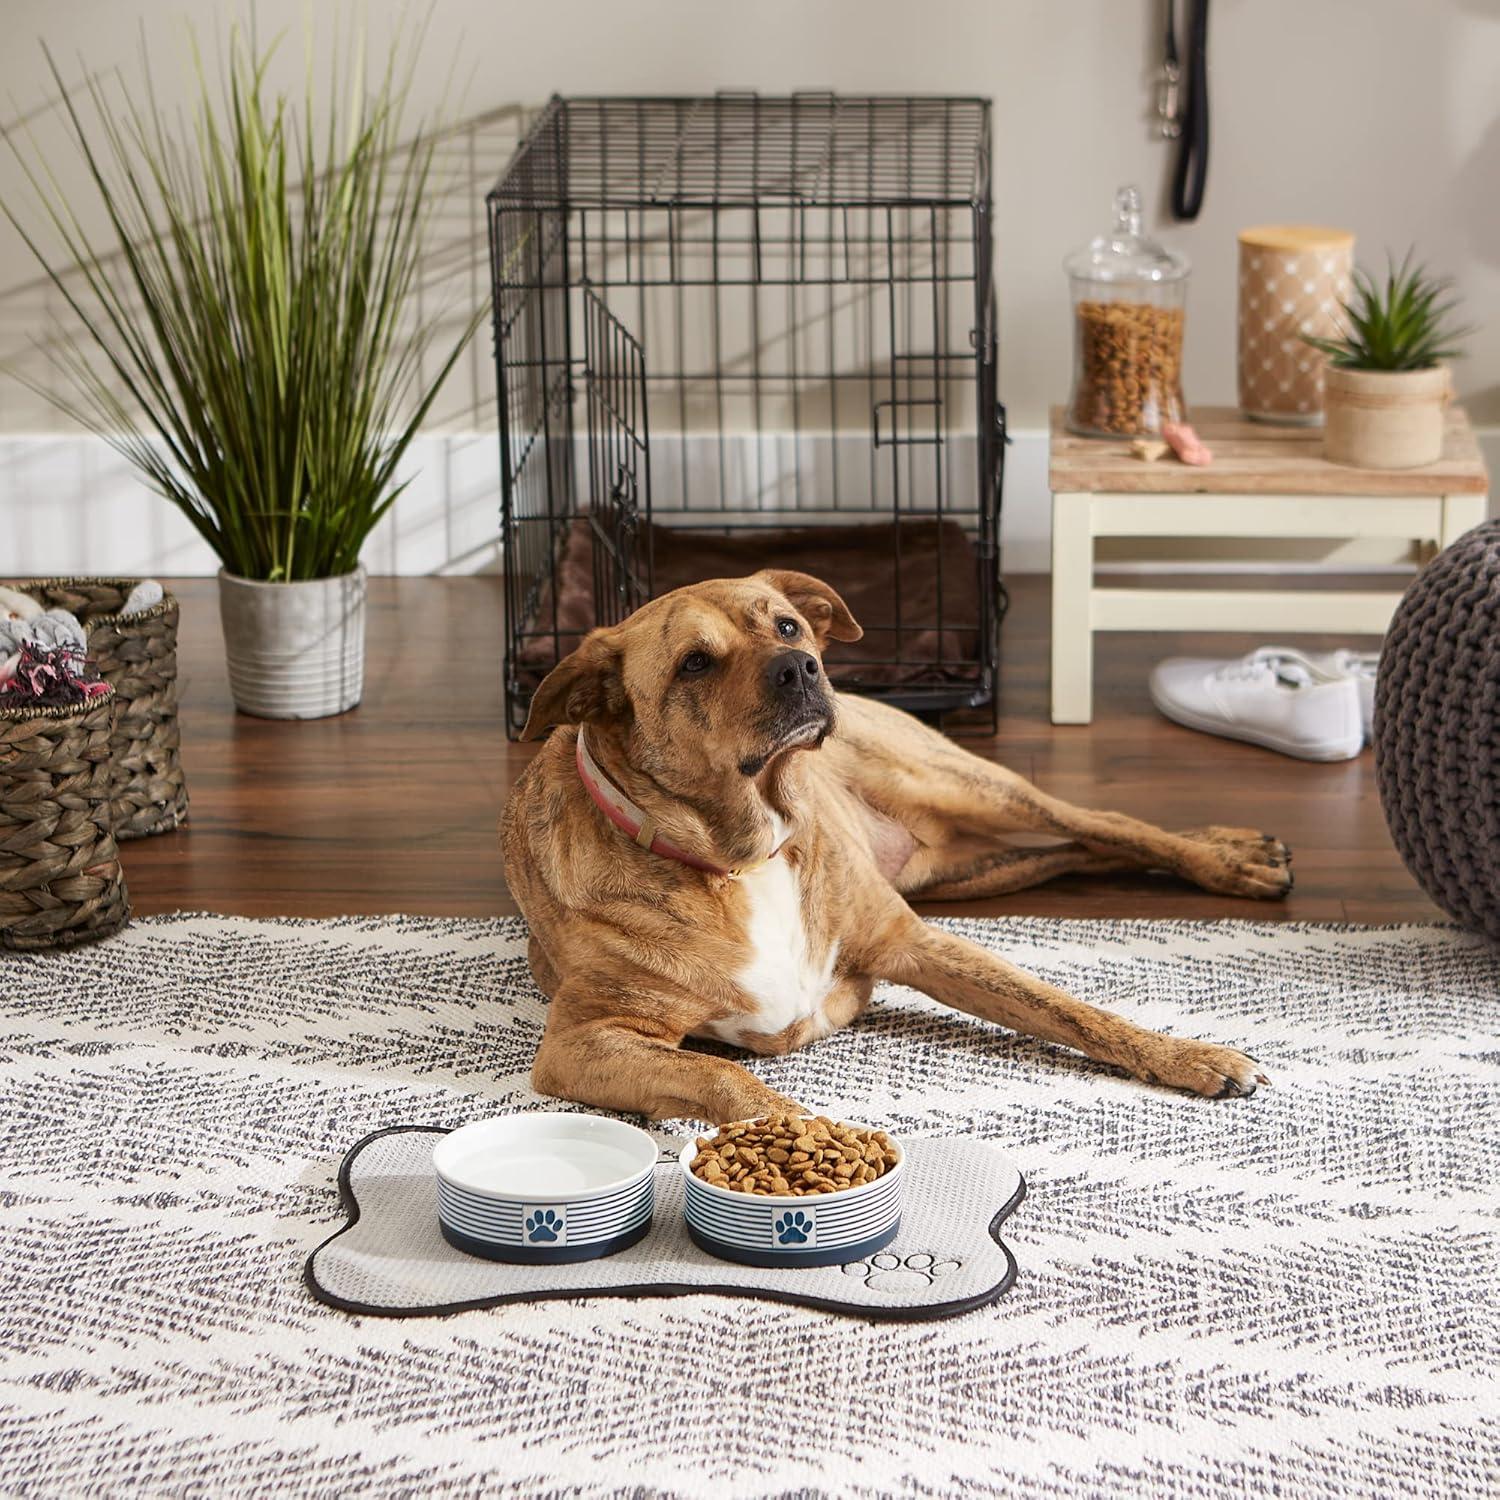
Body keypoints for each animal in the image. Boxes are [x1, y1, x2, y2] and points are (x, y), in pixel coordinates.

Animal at [501, 567, 1278, 1122]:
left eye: (786, 626)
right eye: (694, 663)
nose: (800, 667)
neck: (744, 857)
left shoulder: (915, 940)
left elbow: (1072, 1009)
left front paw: (1188, 1055)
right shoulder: (581, 1042)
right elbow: (721, 1074)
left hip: (962, 784)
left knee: (1106, 823)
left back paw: (1228, 859)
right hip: (969, 870)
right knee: (1078, 849)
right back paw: (1240, 853)